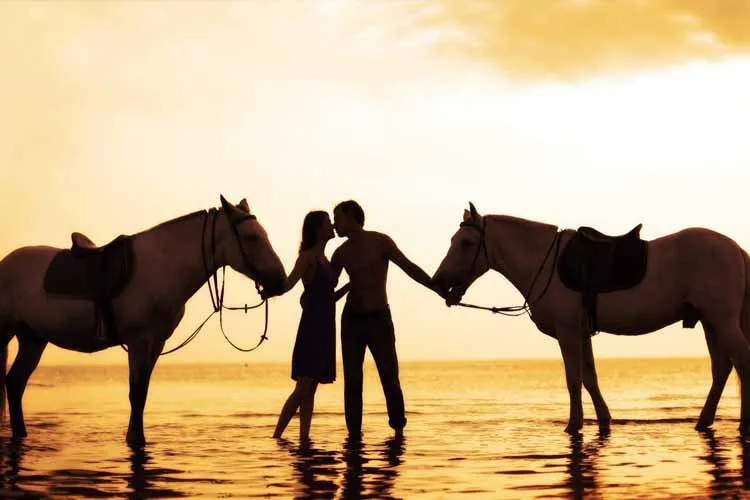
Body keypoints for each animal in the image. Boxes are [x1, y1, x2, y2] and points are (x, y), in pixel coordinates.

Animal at [0, 195, 287, 446]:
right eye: (251, 237)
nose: (280, 281)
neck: (162, 268)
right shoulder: (138, 341)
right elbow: (136, 393)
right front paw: (136, 440)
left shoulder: (156, 343)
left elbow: (143, 392)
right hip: (7, 332)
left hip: (33, 339)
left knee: (15, 383)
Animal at [432, 203, 750, 436]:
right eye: (453, 240)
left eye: (466, 243)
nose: (439, 281)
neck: (544, 263)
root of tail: (735, 248)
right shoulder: (582, 334)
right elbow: (590, 378)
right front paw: (604, 420)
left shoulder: (568, 333)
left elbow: (573, 379)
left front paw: (573, 425)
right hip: (710, 322)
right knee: (722, 368)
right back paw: (703, 421)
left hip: (722, 321)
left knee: (740, 361)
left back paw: (741, 425)